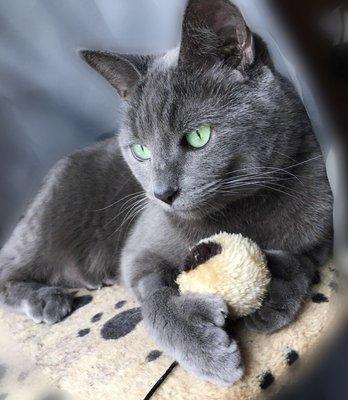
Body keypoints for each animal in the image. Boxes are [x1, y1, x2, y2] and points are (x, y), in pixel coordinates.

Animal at [0, 0, 332, 388]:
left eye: (198, 137)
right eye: (140, 150)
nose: (162, 193)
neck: (240, 211)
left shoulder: (321, 223)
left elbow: (305, 259)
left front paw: (276, 290)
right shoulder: (139, 250)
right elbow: (154, 296)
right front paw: (203, 348)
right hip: (49, 224)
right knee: (8, 270)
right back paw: (47, 300)